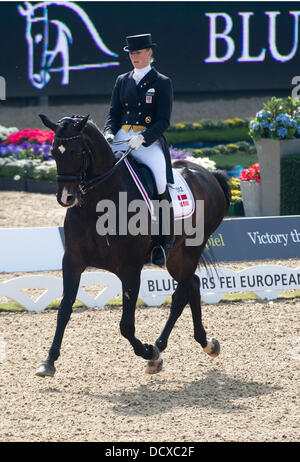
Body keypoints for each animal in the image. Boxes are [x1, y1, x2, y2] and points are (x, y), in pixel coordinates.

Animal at [36, 113, 231, 378]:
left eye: (77, 152)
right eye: (54, 152)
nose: (66, 197)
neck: (98, 204)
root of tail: (208, 174)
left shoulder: (130, 268)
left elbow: (126, 326)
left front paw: (149, 353)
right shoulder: (73, 260)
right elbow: (64, 310)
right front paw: (49, 362)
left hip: (192, 249)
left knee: (181, 293)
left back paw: (162, 348)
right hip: (177, 256)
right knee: (192, 284)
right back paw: (204, 343)